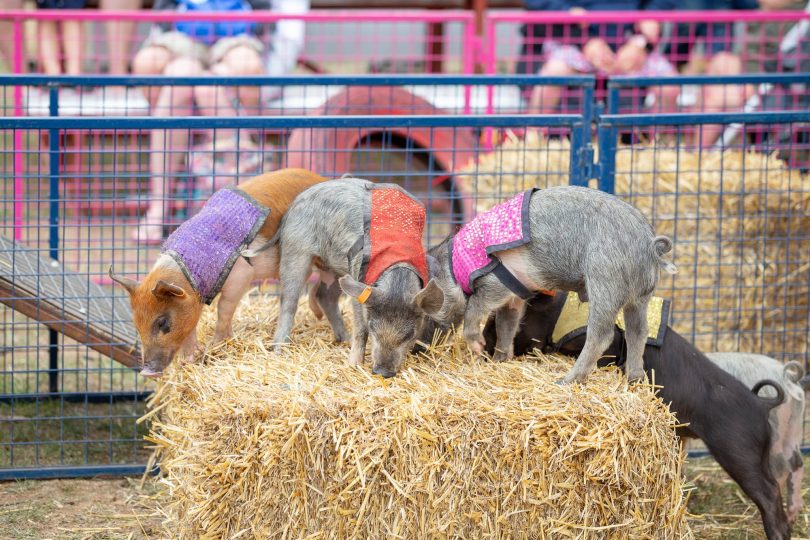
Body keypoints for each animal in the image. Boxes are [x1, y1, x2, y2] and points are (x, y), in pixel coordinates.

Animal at [108, 168, 340, 376]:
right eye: (136, 324)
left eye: (162, 322)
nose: (146, 371)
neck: (188, 272)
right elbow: (191, 326)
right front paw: (191, 359)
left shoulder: (241, 275)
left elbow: (223, 308)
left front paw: (216, 345)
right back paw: (318, 315)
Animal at [256, 177, 442, 376]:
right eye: (373, 326)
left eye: (409, 334)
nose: (382, 372)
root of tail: (295, 204)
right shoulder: (360, 284)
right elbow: (360, 329)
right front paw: (353, 365)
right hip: (296, 250)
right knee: (289, 301)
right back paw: (279, 350)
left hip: (336, 270)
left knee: (324, 295)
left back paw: (344, 339)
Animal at [416, 186, 676, 384]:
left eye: (427, 317)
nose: (421, 351)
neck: (455, 268)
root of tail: (649, 245)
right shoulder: (515, 295)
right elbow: (506, 326)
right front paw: (500, 360)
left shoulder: (495, 284)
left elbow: (474, 311)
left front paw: (479, 348)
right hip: (640, 297)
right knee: (638, 331)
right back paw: (635, 379)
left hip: (605, 281)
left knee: (602, 335)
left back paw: (566, 381)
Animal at [480, 292, 788, 540]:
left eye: (500, 322)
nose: (484, 345)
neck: (558, 315)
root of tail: (761, 405)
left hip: (738, 449)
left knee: (770, 491)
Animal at [708, 352, 800, 524]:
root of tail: (788, 377)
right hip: (793, 428)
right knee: (797, 462)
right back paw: (792, 515)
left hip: (775, 432)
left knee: (782, 468)